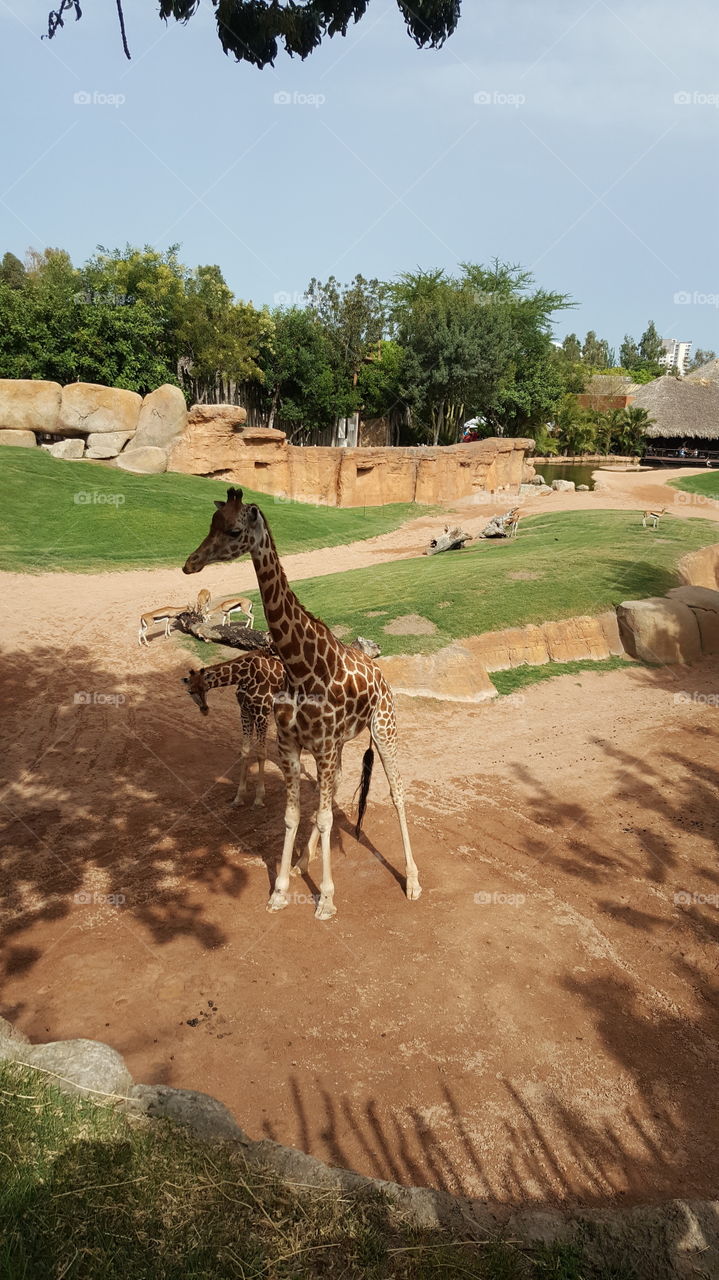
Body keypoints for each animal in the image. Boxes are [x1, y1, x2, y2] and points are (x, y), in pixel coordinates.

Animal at [182, 487, 421, 920]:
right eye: (210, 523)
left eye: (234, 529)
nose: (190, 564)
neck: (299, 666)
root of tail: (382, 678)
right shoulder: (292, 745)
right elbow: (294, 814)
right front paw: (280, 889)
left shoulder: (321, 746)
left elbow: (325, 818)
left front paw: (325, 899)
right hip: (340, 745)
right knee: (337, 786)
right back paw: (301, 862)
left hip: (384, 728)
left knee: (396, 792)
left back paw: (411, 881)